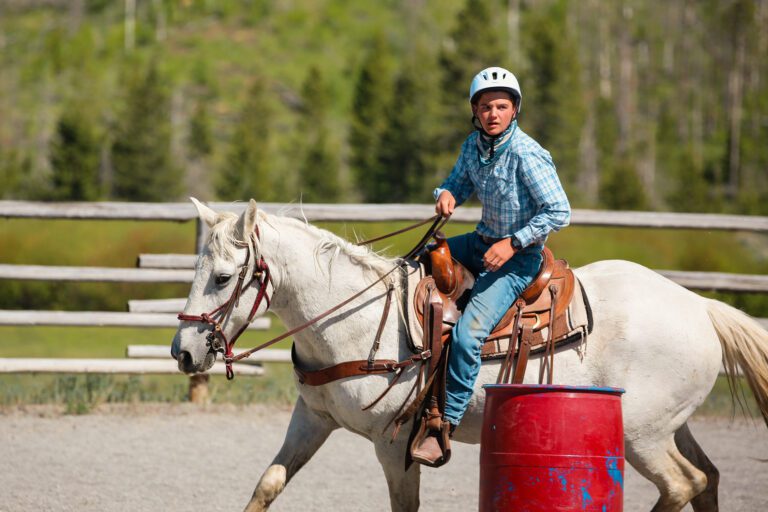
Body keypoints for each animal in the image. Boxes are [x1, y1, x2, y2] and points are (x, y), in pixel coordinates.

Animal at [171, 198, 768, 512]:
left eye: (222, 277)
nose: (183, 352)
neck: (353, 318)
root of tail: (698, 306)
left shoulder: (395, 443)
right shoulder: (312, 418)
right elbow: (268, 483)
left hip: (640, 435)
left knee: (683, 483)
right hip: (669, 426)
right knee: (708, 479)